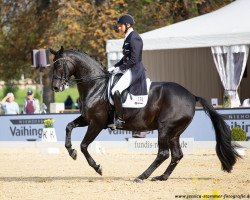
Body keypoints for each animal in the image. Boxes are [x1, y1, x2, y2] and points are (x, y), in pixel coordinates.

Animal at [49, 46, 240, 181]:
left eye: (58, 65)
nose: (56, 88)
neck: (96, 86)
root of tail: (192, 95)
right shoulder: (87, 119)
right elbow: (68, 126)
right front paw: (71, 151)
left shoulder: (96, 123)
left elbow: (83, 145)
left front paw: (97, 167)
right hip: (174, 132)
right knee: (176, 155)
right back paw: (161, 177)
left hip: (165, 128)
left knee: (163, 154)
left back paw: (142, 176)